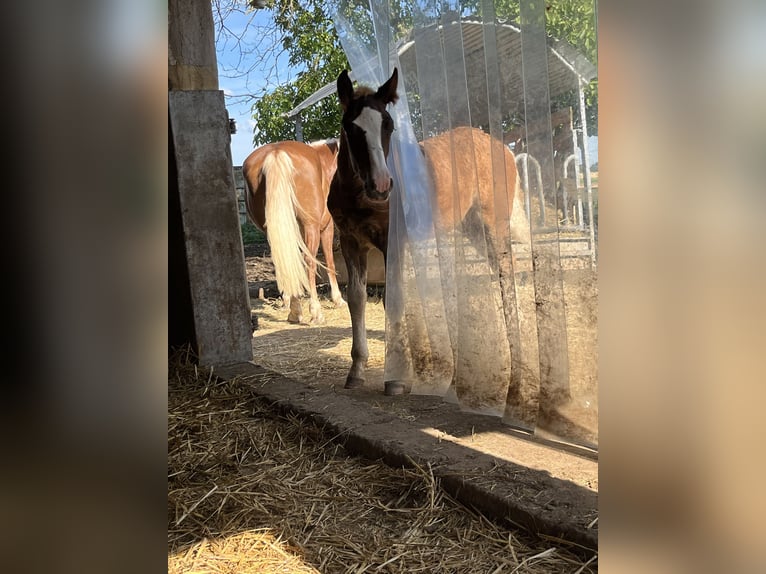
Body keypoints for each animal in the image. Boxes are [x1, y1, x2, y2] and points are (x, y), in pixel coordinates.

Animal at [244, 139, 346, 324]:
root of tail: (276, 153)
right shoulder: (326, 228)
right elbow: (330, 261)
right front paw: (338, 299)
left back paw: (294, 311)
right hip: (311, 227)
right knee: (309, 262)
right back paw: (314, 311)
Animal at [328, 68, 524, 396]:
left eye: (388, 124)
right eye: (351, 127)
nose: (381, 185)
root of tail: (503, 149)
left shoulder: (392, 241)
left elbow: (394, 297)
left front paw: (395, 379)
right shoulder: (350, 241)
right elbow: (356, 297)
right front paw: (356, 370)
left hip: (494, 223)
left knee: (506, 272)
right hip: (470, 227)